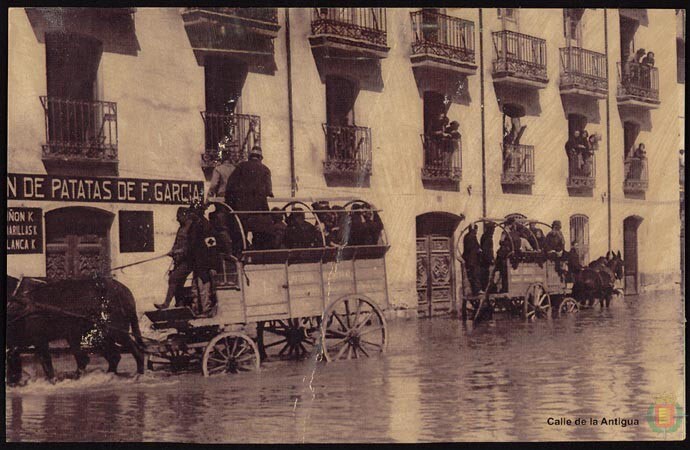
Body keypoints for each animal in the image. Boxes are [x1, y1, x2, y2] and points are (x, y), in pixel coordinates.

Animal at [5, 274, 146, 384]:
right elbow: (13, 357)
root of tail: (126, 292)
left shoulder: (40, 339)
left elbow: (46, 363)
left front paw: (52, 381)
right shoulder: (19, 341)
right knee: (112, 357)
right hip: (97, 336)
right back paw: (107, 375)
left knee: (136, 351)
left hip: (116, 331)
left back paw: (138, 375)